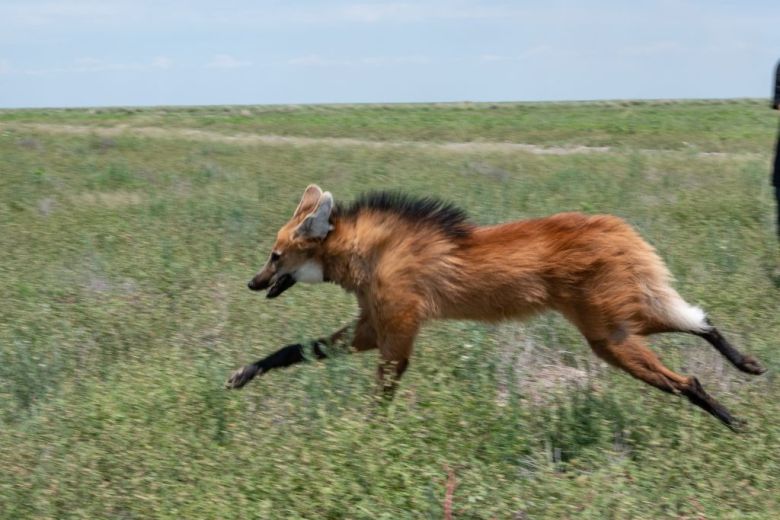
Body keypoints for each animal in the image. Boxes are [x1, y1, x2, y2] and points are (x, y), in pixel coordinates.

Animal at [222, 185, 764, 428]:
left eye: (274, 256)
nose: (252, 282)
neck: (365, 251)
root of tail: (615, 226)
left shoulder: (396, 331)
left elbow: (382, 387)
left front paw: (369, 435)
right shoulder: (373, 328)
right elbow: (296, 349)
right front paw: (243, 374)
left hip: (608, 336)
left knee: (686, 378)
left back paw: (732, 420)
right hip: (621, 323)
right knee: (700, 320)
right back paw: (749, 366)